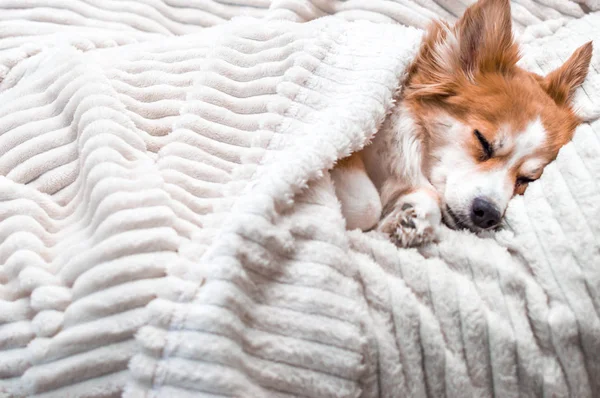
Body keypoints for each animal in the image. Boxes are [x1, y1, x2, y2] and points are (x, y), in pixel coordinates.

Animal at [330, 0, 592, 247]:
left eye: (527, 179)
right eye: (483, 141)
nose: (489, 214)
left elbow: (427, 197)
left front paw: (413, 218)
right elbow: (367, 206)